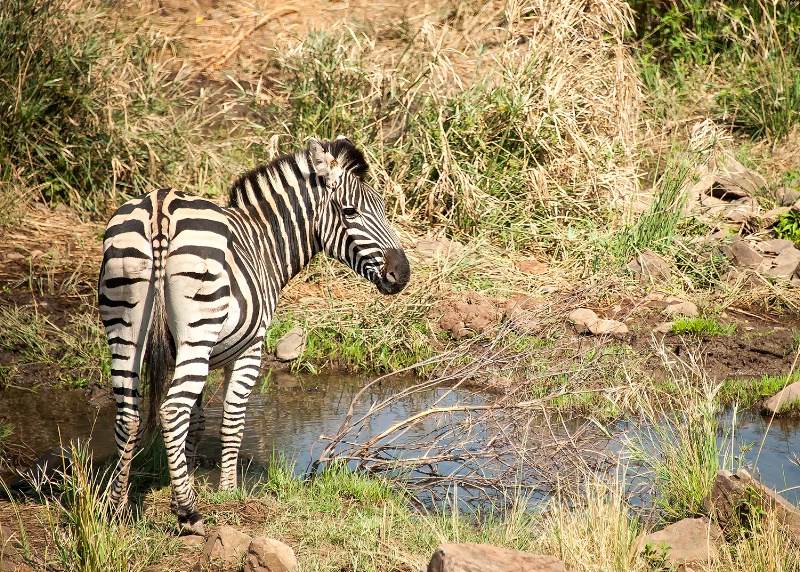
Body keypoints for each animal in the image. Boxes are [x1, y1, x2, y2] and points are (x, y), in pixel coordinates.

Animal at [98, 136, 412, 536]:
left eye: (384, 209)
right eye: (350, 211)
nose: (402, 274)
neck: (264, 242)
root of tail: (160, 207)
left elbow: (197, 423)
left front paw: (182, 481)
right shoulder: (249, 348)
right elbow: (231, 421)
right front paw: (226, 493)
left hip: (126, 327)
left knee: (130, 414)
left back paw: (116, 506)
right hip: (197, 330)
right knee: (170, 411)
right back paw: (189, 515)